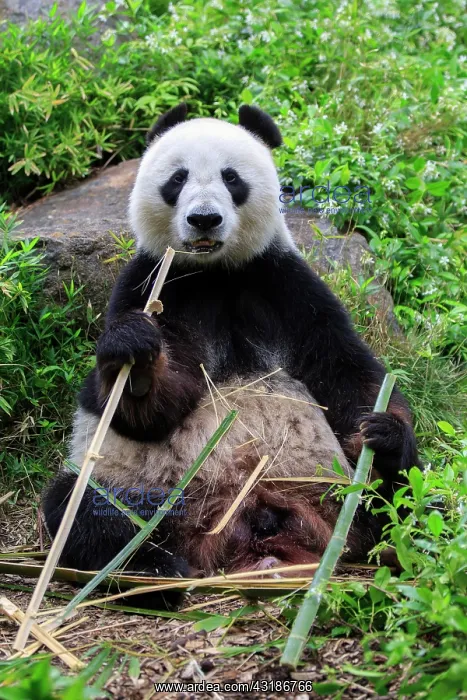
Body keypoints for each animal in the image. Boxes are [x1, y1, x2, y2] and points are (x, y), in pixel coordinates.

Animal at [43, 104, 418, 605]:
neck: (215, 272)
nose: (204, 219)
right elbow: (146, 410)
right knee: (82, 509)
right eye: (177, 178)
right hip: (145, 492)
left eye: (231, 178)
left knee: (403, 493)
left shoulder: (284, 283)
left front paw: (380, 430)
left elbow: (345, 370)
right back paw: (151, 573)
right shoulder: (154, 283)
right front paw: (136, 360)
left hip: (333, 490)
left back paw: (392, 519)